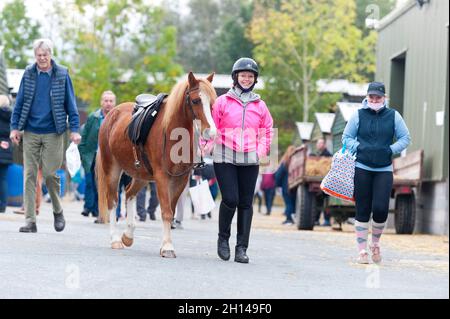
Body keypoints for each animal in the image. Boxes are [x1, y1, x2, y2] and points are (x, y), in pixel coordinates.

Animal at [97, 72, 218, 258]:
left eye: (212, 102)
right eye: (196, 100)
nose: (210, 132)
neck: (173, 133)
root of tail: (112, 114)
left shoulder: (180, 179)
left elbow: (171, 211)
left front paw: (165, 245)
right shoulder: (162, 176)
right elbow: (166, 212)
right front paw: (167, 247)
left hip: (142, 175)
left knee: (129, 193)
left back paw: (128, 235)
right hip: (112, 168)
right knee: (113, 201)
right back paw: (115, 239)